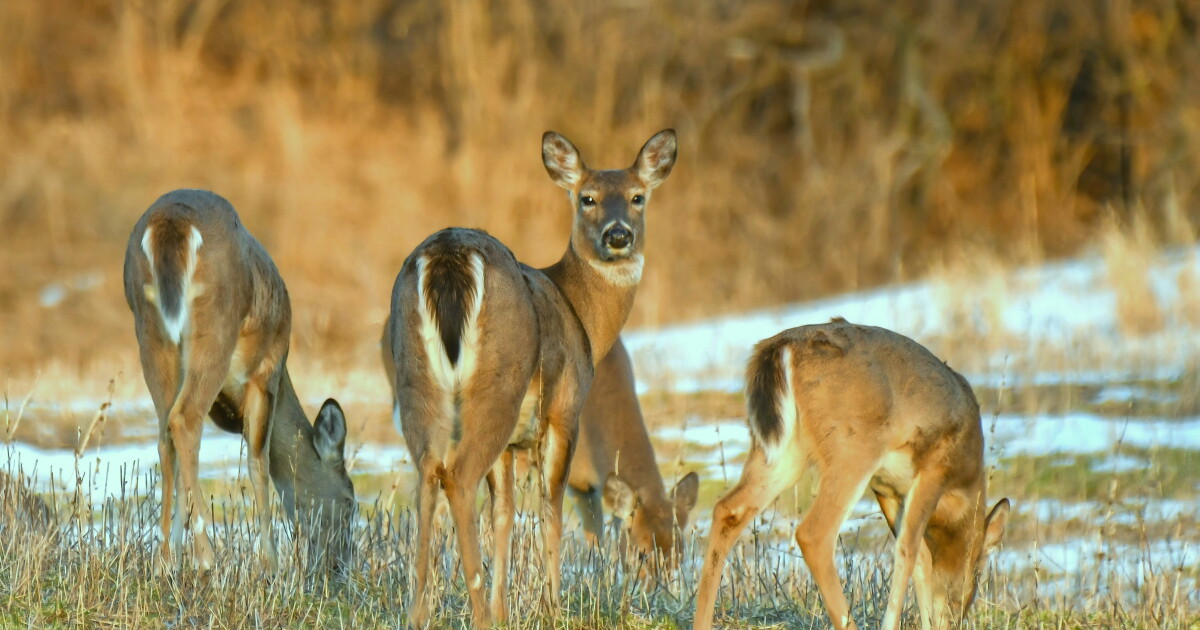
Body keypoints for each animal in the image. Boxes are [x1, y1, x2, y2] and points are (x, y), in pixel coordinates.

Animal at [123, 189, 356, 576]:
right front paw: (271, 565)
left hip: (150, 331)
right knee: (184, 420)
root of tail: (171, 223)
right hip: (216, 324)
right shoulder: (266, 374)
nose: (338, 566)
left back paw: (165, 562)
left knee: (164, 435)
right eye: (350, 499)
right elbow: (259, 462)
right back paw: (206, 558)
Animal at [382, 129, 676, 628]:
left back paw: (420, 613)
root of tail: (446, 256)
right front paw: (551, 608)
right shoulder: (563, 411)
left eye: (638, 196)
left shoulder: (512, 444)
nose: (618, 235)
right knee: (457, 478)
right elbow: (550, 512)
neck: (582, 316)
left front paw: (506, 610)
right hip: (498, 383)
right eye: (587, 198)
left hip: (416, 381)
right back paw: (476, 612)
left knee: (427, 477)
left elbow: (504, 513)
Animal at [693, 319, 1010, 630]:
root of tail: (779, 348)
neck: (964, 486)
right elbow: (909, 551)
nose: (957, 616)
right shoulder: (935, 467)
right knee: (814, 533)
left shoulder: (886, 487)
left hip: (781, 454)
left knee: (728, 509)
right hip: (852, 450)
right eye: (978, 573)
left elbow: (921, 558)